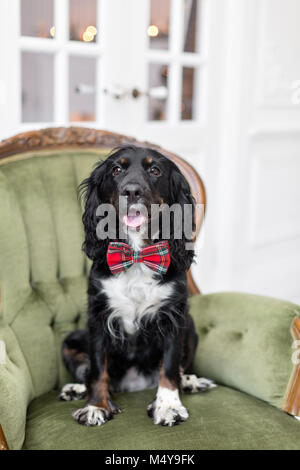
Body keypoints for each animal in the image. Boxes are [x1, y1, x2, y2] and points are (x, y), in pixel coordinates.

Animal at [60, 146, 216, 426]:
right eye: (116, 169)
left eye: (154, 170)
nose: (131, 191)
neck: (136, 254)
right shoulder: (99, 316)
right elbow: (98, 368)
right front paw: (95, 406)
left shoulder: (173, 316)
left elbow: (169, 365)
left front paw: (168, 405)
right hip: (70, 341)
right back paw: (75, 388)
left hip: (191, 328)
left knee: (181, 367)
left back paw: (190, 382)